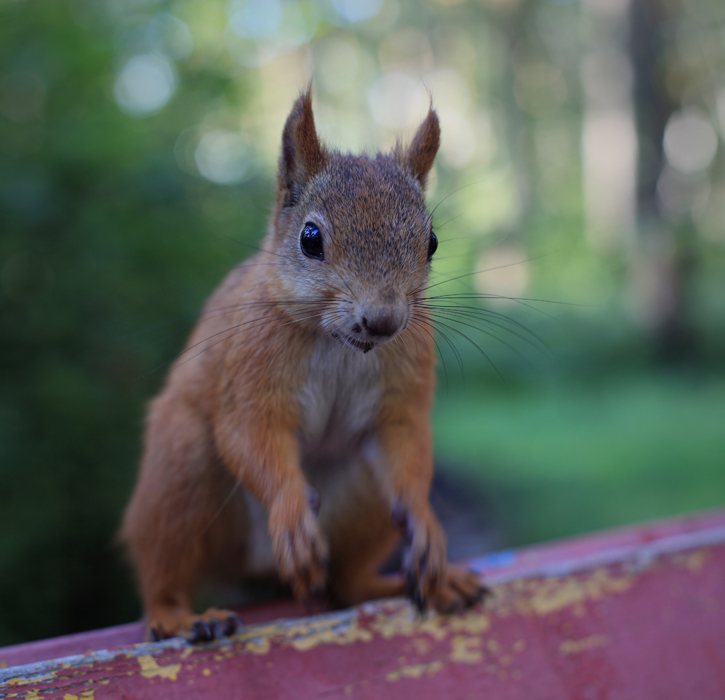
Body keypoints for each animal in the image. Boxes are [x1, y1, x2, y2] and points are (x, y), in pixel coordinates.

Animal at [121, 90, 486, 644]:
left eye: (432, 242)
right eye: (310, 238)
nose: (383, 319)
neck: (341, 345)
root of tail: (256, 569)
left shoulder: (402, 390)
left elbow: (407, 447)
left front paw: (427, 527)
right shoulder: (251, 368)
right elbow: (250, 434)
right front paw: (292, 516)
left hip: (363, 500)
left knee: (346, 582)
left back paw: (419, 584)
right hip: (180, 470)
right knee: (164, 566)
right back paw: (182, 616)